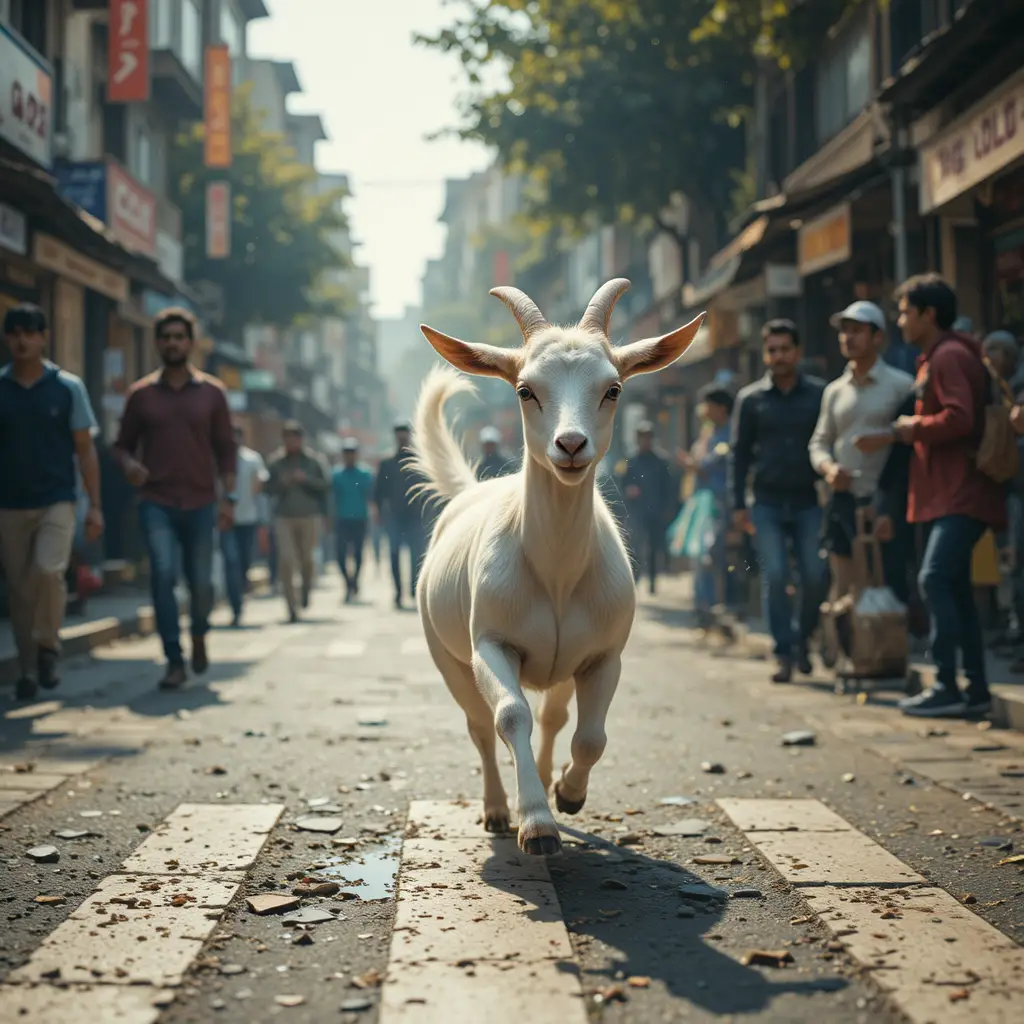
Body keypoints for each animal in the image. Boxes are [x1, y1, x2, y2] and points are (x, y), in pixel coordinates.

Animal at [411, 279, 704, 855]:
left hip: (561, 667)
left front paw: (567, 793)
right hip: (444, 652)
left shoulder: (602, 654)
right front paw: (536, 824)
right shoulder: (491, 643)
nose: (570, 445)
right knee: (480, 725)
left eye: (613, 389)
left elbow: (589, 736)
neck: (557, 574)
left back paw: (548, 780)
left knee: (553, 717)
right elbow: (509, 716)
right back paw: (497, 808)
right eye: (525, 390)